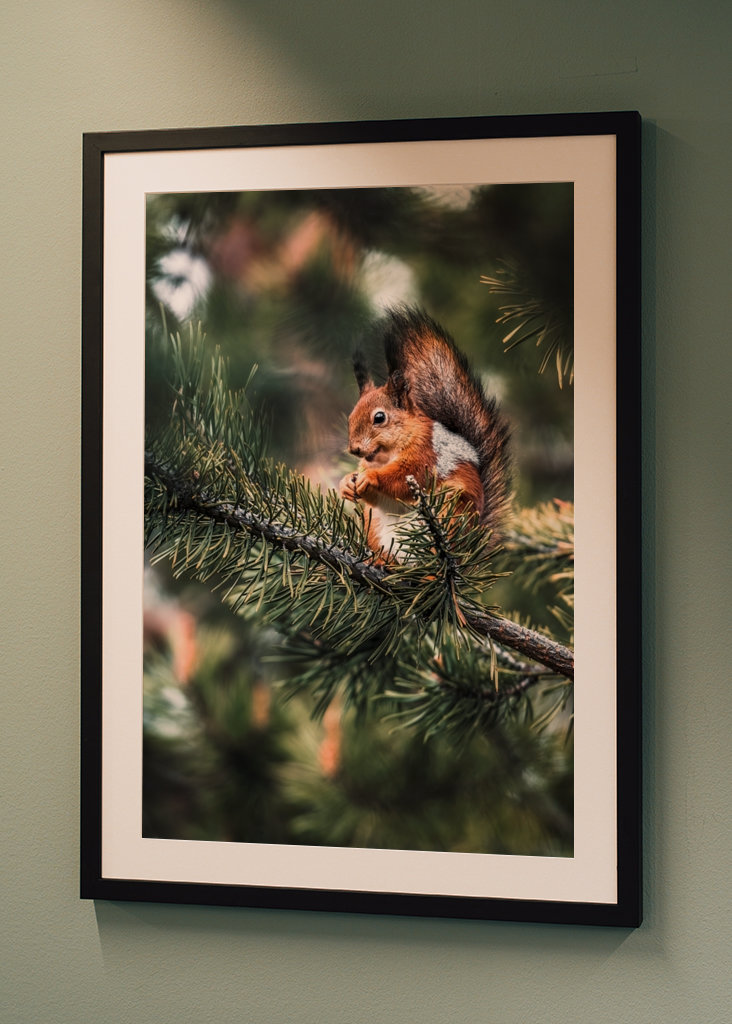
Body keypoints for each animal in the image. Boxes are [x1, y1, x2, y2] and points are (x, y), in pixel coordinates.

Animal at [339, 307, 511, 558]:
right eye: (350, 417)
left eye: (379, 418)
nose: (354, 449)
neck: (385, 456)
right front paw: (345, 483)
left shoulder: (424, 454)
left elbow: (404, 477)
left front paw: (371, 477)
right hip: (375, 526)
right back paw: (380, 562)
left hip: (452, 511)